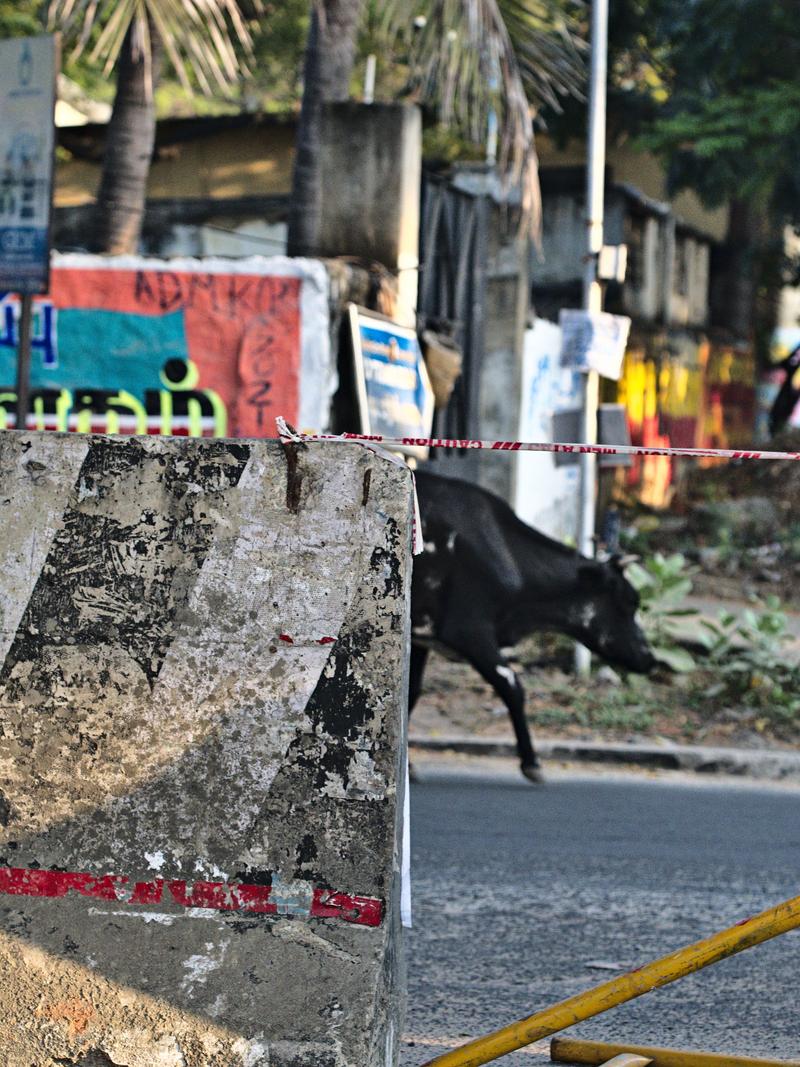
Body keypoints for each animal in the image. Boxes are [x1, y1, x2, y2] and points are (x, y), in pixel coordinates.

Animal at [413, 471, 657, 781]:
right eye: (630, 601)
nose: (650, 658)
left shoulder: (422, 637)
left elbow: (411, 693)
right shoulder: (468, 631)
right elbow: (513, 688)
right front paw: (531, 762)